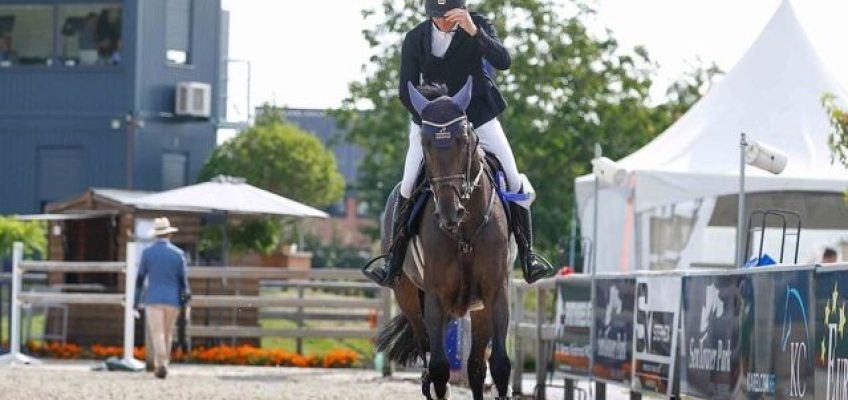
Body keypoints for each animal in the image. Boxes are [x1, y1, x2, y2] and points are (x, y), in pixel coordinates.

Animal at [380, 76, 516, 398]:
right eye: (425, 144)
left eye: (464, 141)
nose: (449, 212)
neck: (464, 231)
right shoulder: (436, 298)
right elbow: (440, 369)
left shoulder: (496, 292)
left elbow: (500, 365)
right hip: (408, 297)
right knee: (428, 356)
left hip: (478, 309)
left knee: (476, 366)